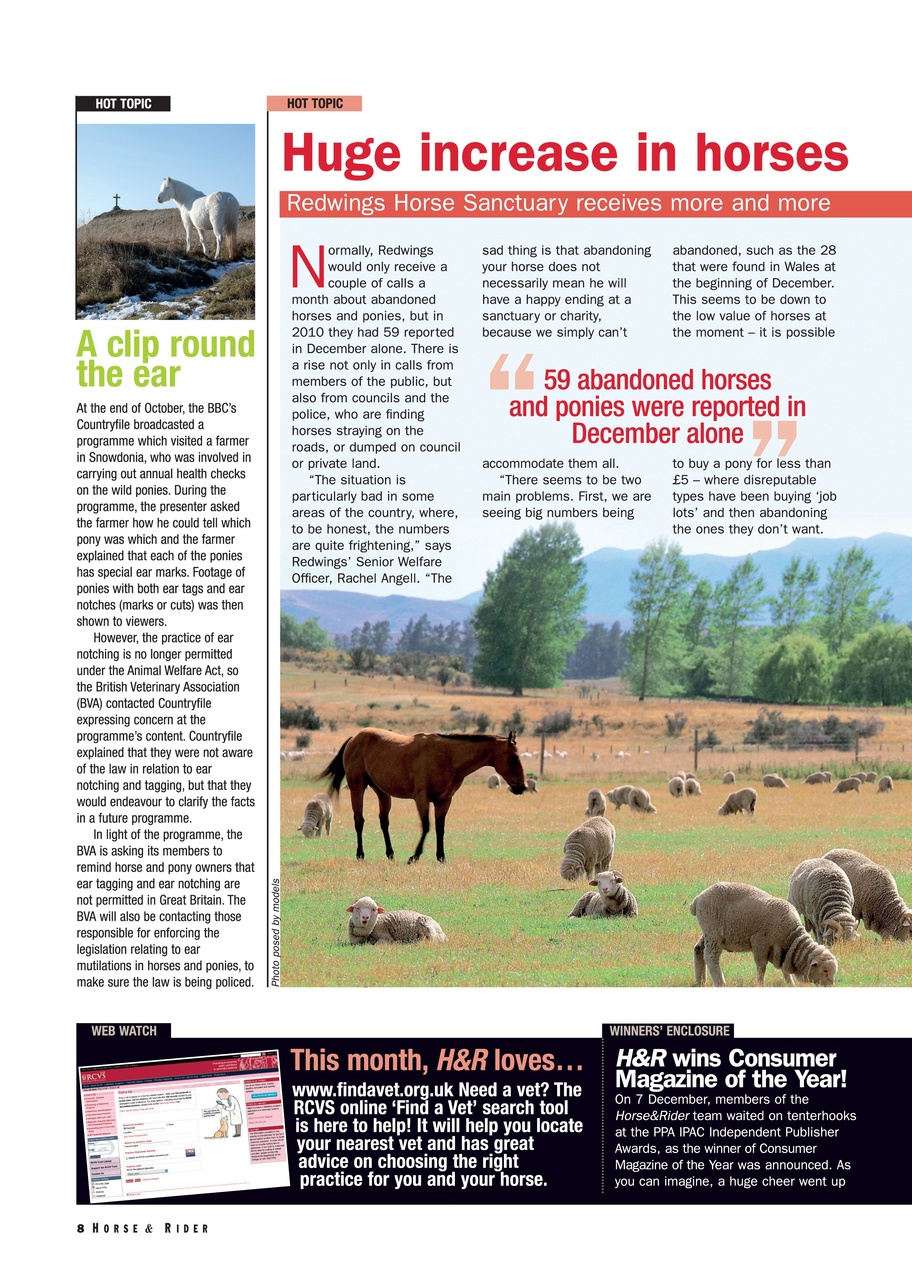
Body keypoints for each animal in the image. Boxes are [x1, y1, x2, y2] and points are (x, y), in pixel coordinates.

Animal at [317, 729, 527, 864]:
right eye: (514, 757)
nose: (522, 787)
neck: (447, 756)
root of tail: (355, 737)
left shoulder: (444, 801)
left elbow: (440, 828)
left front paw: (441, 857)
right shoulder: (422, 799)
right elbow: (426, 826)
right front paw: (414, 856)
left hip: (382, 792)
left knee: (384, 822)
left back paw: (390, 854)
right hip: (357, 787)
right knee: (359, 820)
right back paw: (360, 854)